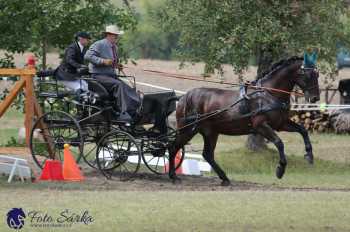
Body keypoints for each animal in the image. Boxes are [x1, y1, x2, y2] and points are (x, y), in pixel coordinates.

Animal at [169, 57, 320, 186]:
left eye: (317, 74)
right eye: (308, 74)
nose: (315, 98)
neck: (268, 94)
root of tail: (183, 97)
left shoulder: (280, 124)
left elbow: (303, 130)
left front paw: (309, 156)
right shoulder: (261, 126)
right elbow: (279, 142)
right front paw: (280, 169)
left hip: (210, 132)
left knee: (207, 154)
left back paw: (225, 178)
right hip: (187, 130)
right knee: (173, 147)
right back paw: (173, 176)